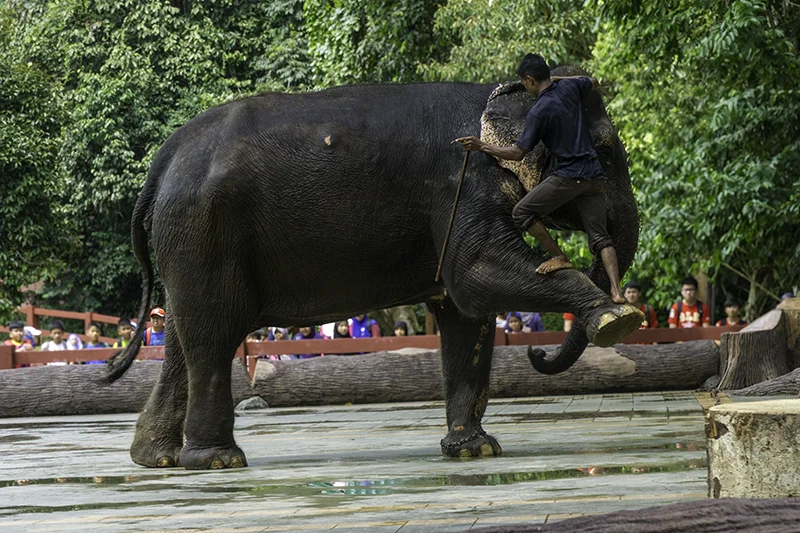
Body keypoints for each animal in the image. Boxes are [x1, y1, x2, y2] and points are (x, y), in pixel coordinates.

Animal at [107, 64, 643, 470]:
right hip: (204, 231)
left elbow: (465, 313)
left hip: (190, 240)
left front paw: (475, 451)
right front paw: (614, 318)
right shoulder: (462, 187)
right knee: (213, 335)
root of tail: (162, 161)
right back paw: (218, 461)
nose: (537, 353)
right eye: (606, 152)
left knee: (183, 338)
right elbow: (476, 278)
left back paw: (156, 459)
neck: (497, 91)